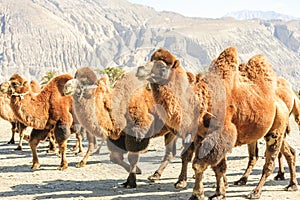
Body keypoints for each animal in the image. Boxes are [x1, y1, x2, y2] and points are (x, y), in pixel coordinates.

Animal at [137, 46, 298, 198]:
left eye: (162, 66)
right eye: (151, 59)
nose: (140, 69)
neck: (202, 102)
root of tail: (281, 102)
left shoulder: (222, 133)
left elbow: (200, 164)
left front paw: (198, 194)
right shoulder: (201, 136)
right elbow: (216, 167)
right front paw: (217, 192)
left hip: (276, 129)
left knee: (269, 162)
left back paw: (255, 192)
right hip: (273, 130)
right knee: (287, 152)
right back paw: (291, 185)